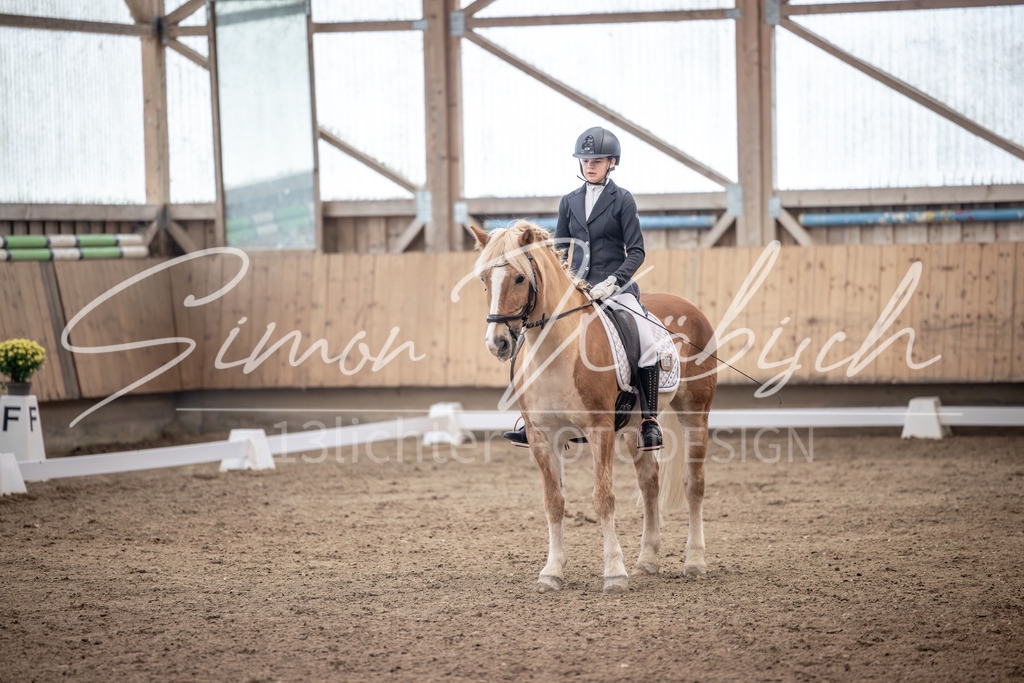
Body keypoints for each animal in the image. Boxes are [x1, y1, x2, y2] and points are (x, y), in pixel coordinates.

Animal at [470, 220, 718, 594]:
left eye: (520, 278)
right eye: (484, 278)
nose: (497, 343)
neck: (556, 350)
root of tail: (690, 307)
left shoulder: (600, 430)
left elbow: (603, 498)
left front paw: (614, 572)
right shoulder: (542, 436)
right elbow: (554, 502)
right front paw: (552, 572)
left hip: (695, 413)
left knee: (695, 483)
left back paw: (696, 561)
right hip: (634, 429)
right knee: (650, 483)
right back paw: (647, 560)